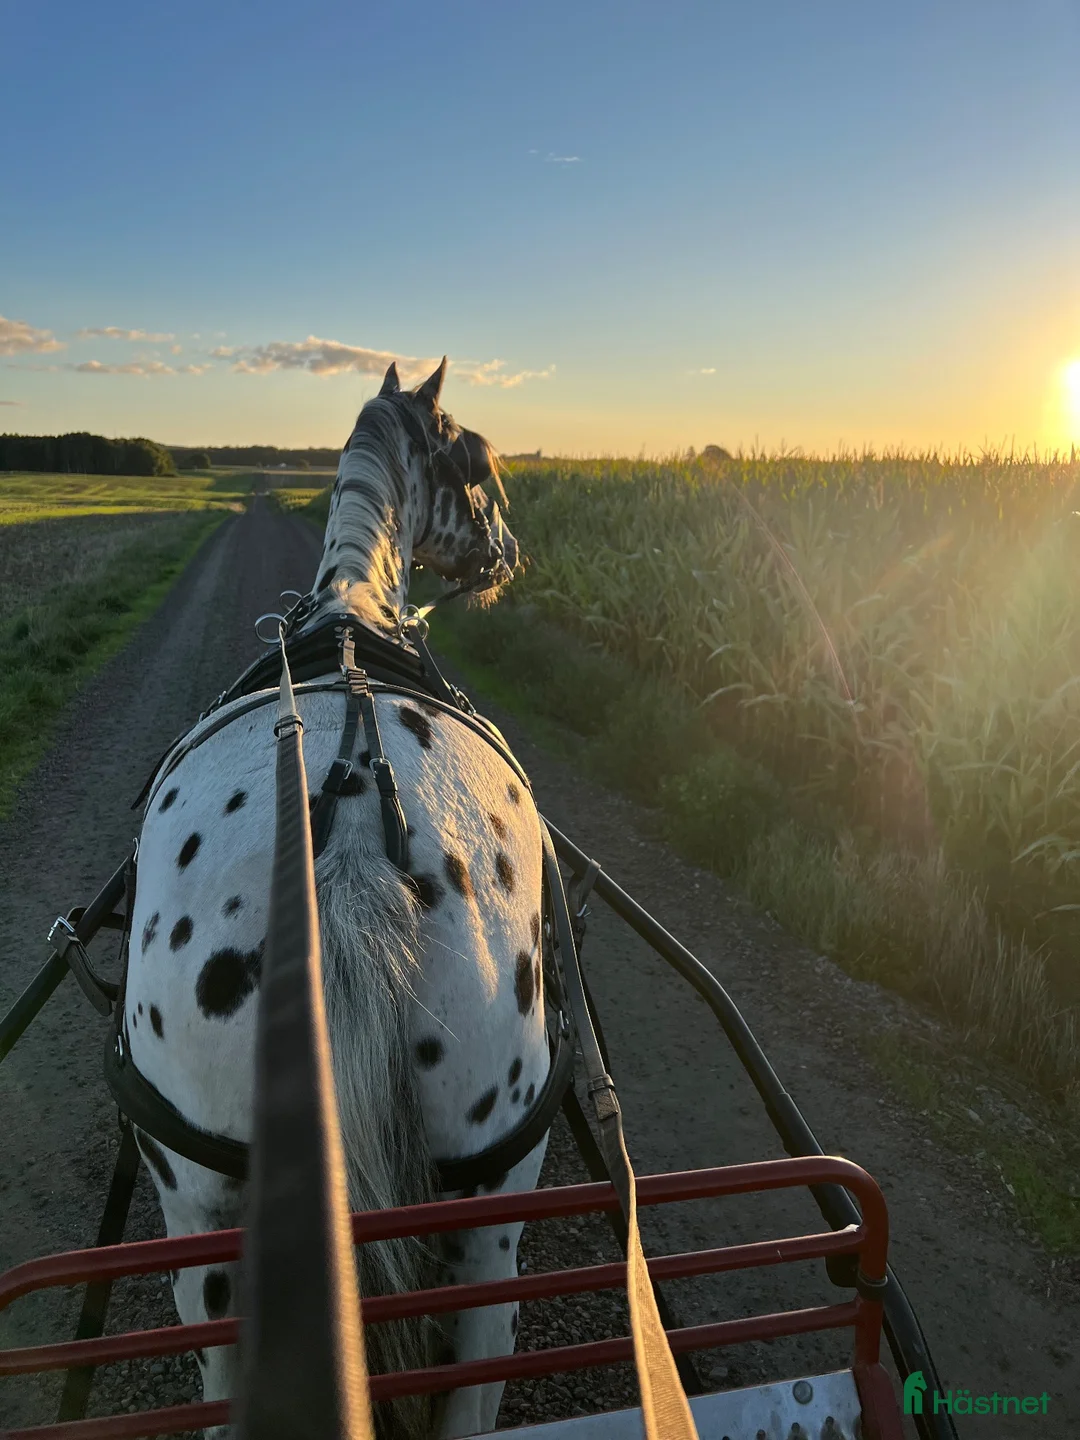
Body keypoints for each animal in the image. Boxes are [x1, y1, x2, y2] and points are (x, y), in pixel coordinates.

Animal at [123, 358, 552, 1439]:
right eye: (479, 468)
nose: (509, 556)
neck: (350, 615)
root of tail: (357, 822)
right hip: (488, 1224)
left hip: (202, 1220)